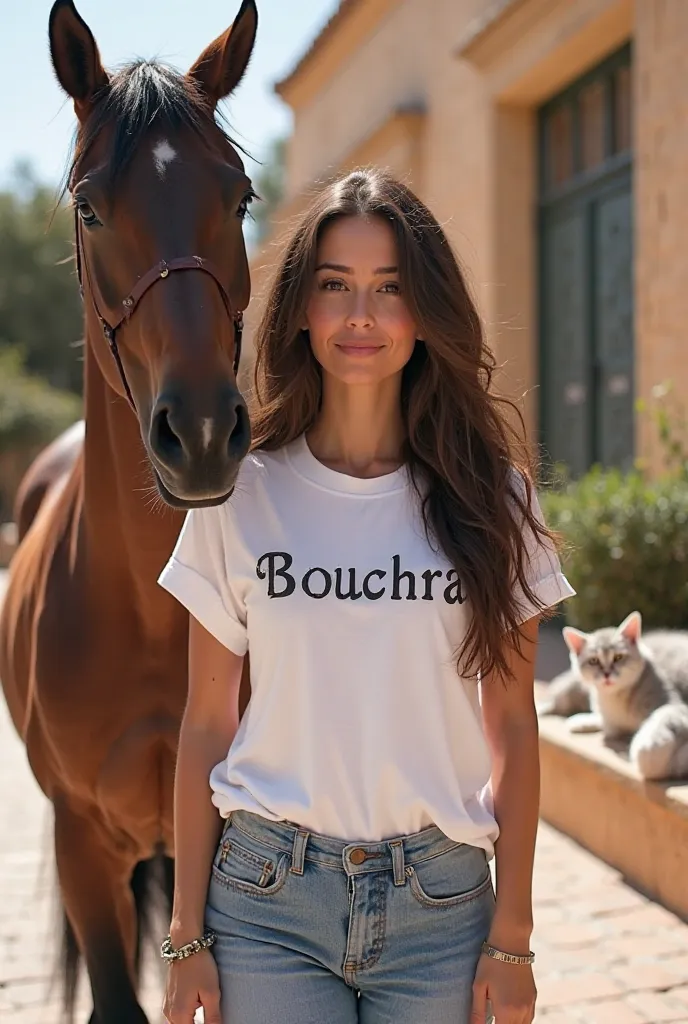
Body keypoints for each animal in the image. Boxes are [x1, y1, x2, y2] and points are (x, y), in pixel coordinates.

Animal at [536, 606, 688, 782]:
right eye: (594, 661)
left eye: (618, 657)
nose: (607, 674)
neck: (616, 701)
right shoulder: (611, 722)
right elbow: (608, 725)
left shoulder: (673, 704)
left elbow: (655, 735)